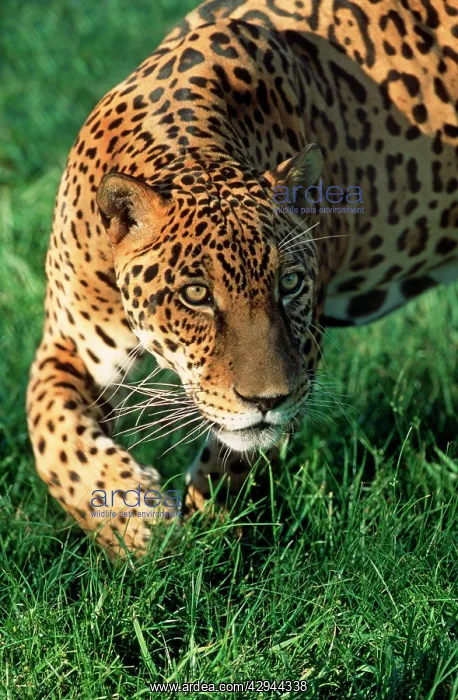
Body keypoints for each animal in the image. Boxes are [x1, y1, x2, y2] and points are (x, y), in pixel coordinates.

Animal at [27, 0, 458, 557]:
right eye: (196, 295)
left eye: (289, 285)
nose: (267, 402)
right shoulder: (71, 340)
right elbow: (54, 437)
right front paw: (136, 524)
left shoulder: (305, 348)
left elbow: (235, 459)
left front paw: (206, 538)